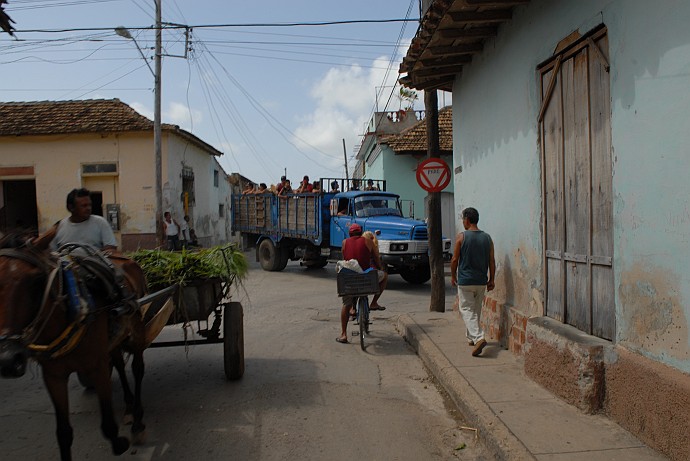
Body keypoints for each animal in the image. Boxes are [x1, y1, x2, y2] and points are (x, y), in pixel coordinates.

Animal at [0, 230, 149, 460]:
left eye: (36, 281)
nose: (8, 359)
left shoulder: (97, 366)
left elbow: (108, 425)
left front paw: (120, 442)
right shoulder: (53, 376)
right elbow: (63, 433)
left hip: (137, 329)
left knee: (137, 368)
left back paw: (138, 422)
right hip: (115, 338)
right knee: (119, 364)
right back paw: (129, 408)